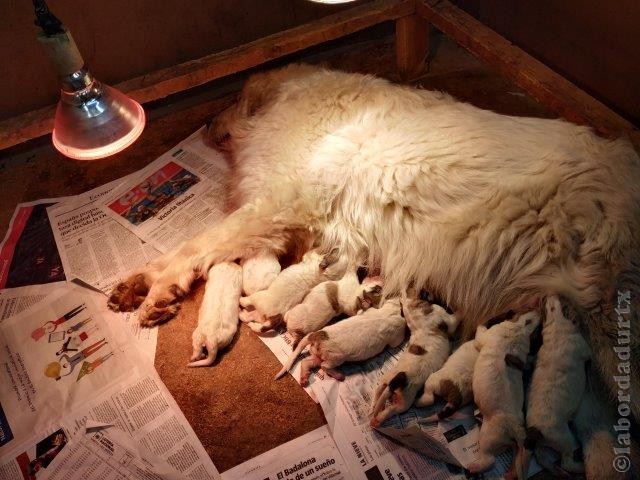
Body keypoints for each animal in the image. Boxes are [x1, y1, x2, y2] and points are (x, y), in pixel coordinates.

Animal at [274, 300, 404, 386]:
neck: (387, 313)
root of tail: (315, 335)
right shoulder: (396, 336)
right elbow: (397, 342)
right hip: (336, 358)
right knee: (324, 366)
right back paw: (339, 376)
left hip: (317, 355)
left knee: (306, 362)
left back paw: (304, 379)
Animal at [368, 292, 458, 428]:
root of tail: (403, 380)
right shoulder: (443, 319)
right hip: (397, 391)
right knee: (381, 399)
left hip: (397, 395)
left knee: (383, 402)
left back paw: (375, 415)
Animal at [470, 312, 540, 476]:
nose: (539, 312)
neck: (521, 329)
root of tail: (516, 427)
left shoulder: (485, 336)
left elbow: (480, 329)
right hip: (508, 442)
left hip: (487, 438)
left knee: (490, 460)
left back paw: (473, 467)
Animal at [520, 296, 592, 476]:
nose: (551, 293)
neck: (555, 322)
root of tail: (534, 429)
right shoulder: (585, 349)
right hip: (564, 438)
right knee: (567, 461)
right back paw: (580, 467)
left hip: (542, 447)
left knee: (543, 459)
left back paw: (557, 471)